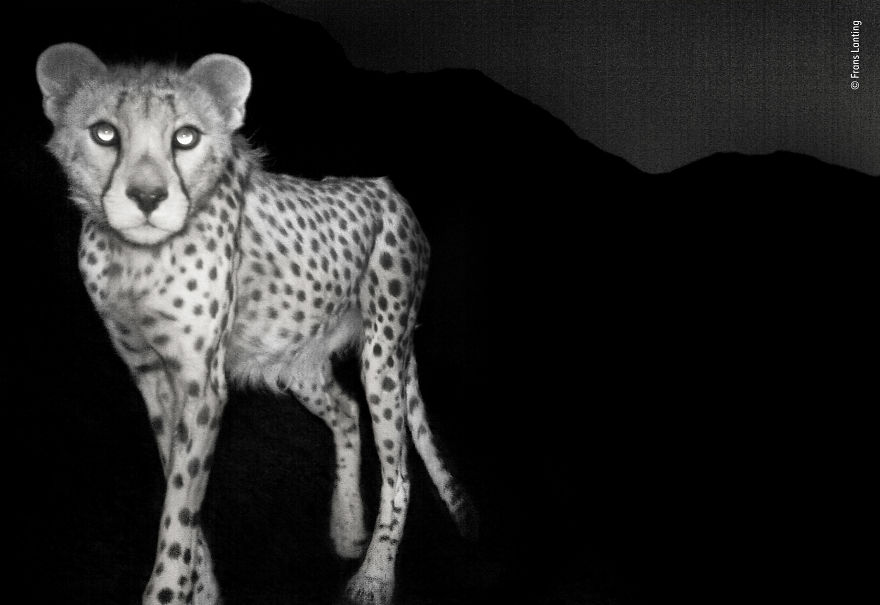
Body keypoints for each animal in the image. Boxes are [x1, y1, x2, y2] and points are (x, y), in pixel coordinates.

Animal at [36, 42, 475, 605]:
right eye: (105, 133)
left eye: (186, 136)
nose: (148, 197)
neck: (133, 258)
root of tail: (386, 187)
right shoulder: (151, 377)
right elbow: (179, 487)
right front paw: (201, 588)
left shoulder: (201, 384)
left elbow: (181, 504)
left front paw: (170, 588)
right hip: (294, 359)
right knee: (345, 410)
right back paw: (346, 526)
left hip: (383, 353)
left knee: (399, 470)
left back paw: (374, 576)